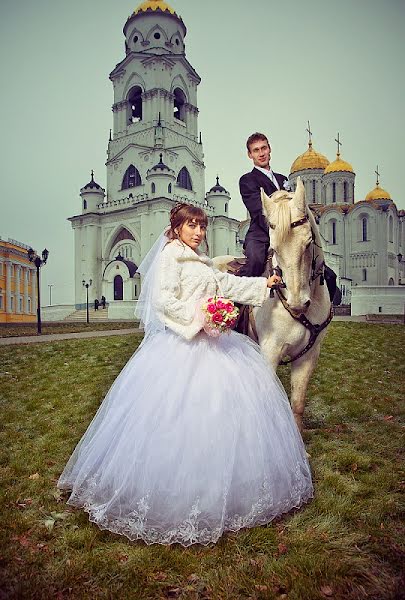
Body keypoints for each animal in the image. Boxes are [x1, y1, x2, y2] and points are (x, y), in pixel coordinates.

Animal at [213, 178, 330, 432]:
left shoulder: (308, 357)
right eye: (273, 248)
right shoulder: (270, 351)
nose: (297, 303)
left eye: (308, 243)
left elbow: (297, 405)